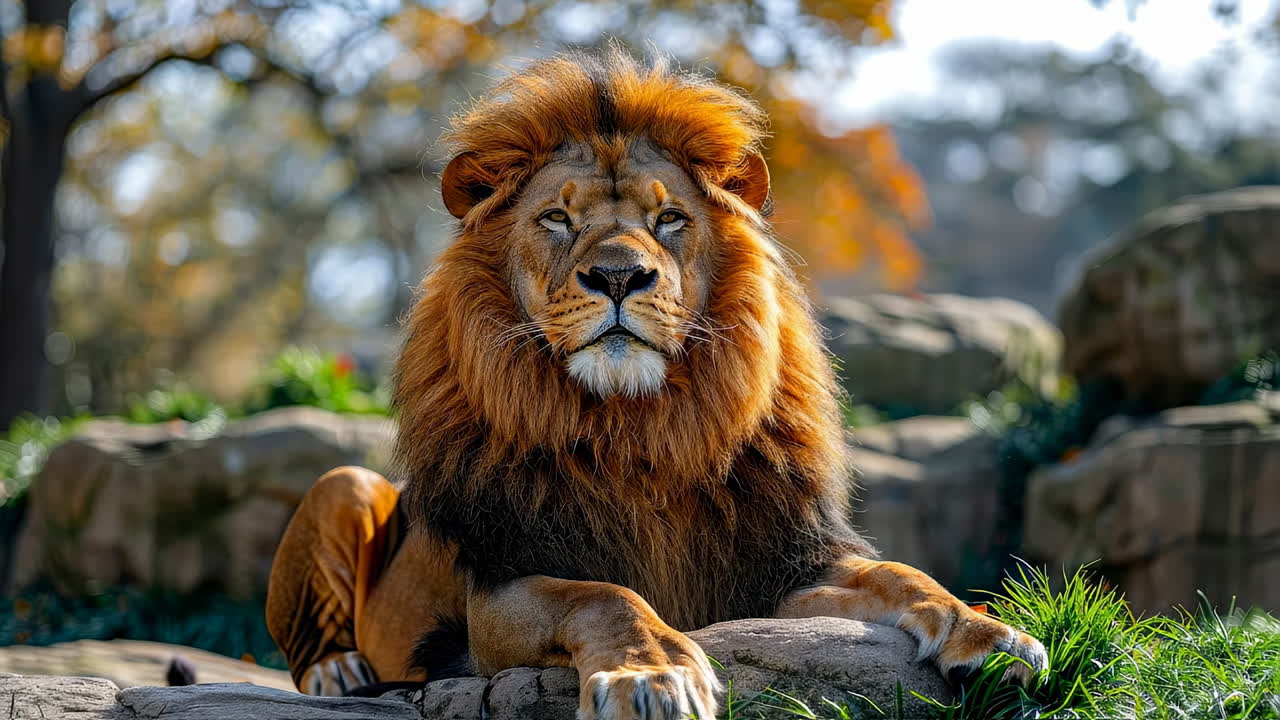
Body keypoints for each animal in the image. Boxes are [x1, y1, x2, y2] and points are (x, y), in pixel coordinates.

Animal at [265, 47, 1047, 718]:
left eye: (669, 218)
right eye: (557, 218)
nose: (619, 275)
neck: (638, 429)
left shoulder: (775, 570)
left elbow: (899, 574)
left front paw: (990, 634)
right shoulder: (499, 591)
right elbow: (603, 594)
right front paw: (653, 673)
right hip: (343, 485)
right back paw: (341, 672)